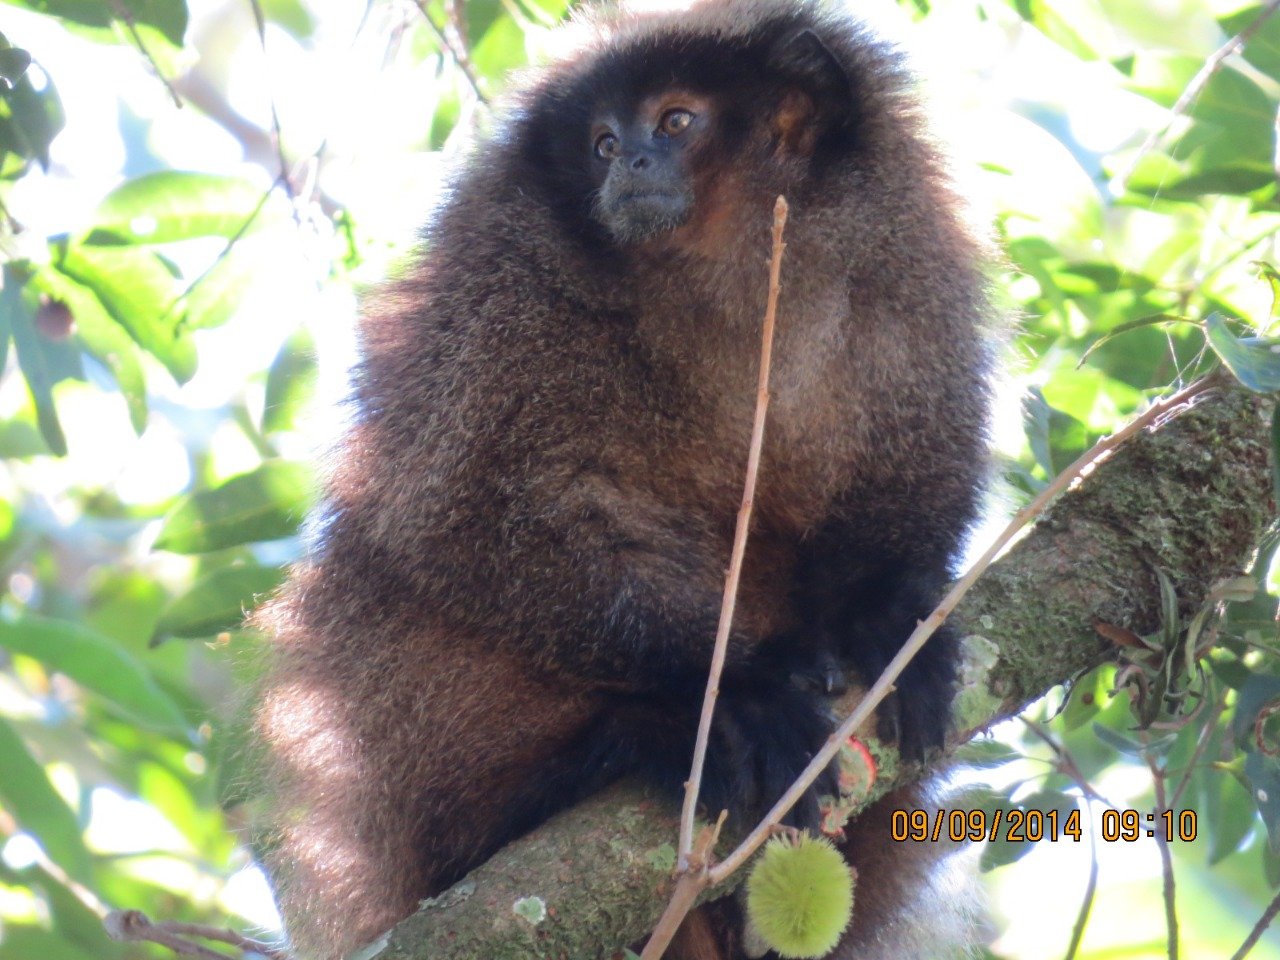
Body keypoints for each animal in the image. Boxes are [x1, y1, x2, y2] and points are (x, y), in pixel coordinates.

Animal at [247, 0, 988, 957]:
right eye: (601, 141)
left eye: (674, 121)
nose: (630, 162)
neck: (734, 271)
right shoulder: (510, 283)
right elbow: (453, 523)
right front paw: (732, 690)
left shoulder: (900, 250)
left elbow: (919, 451)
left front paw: (887, 616)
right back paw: (586, 765)